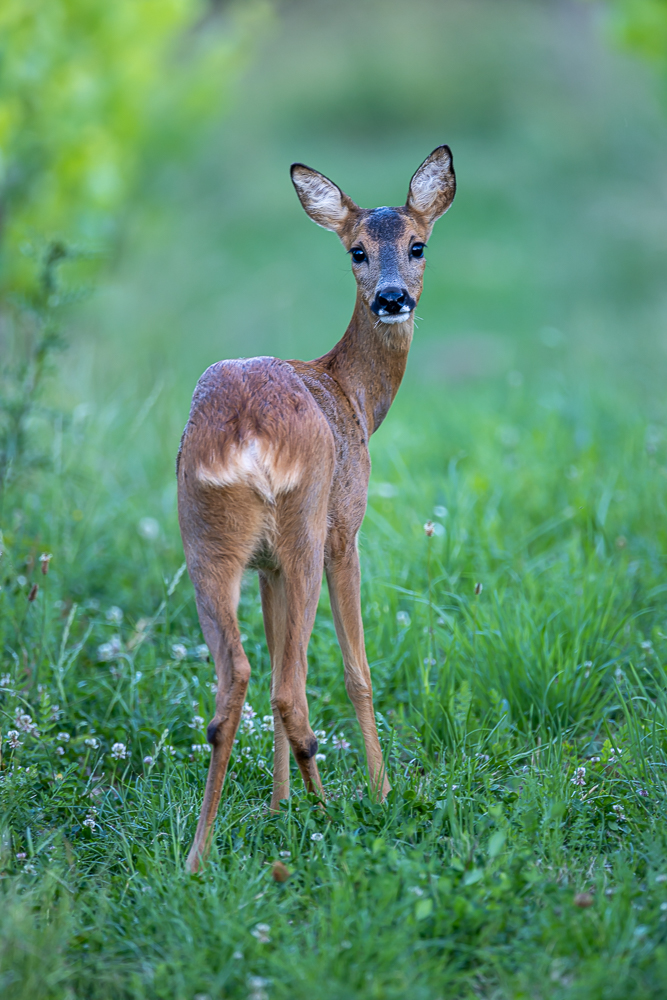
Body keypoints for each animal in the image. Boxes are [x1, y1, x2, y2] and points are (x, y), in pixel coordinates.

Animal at [180, 145, 456, 872]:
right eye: (356, 251)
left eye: (417, 244)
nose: (392, 298)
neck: (351, 393)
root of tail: (246, 435)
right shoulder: (345, 530)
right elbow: (359, 671)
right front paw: (382, 790)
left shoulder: (266, 567)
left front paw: (277, 804)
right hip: (304, 528)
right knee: (290, 691)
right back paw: (332, 815)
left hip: (207, 540)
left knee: (238, 685)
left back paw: (198, 855)